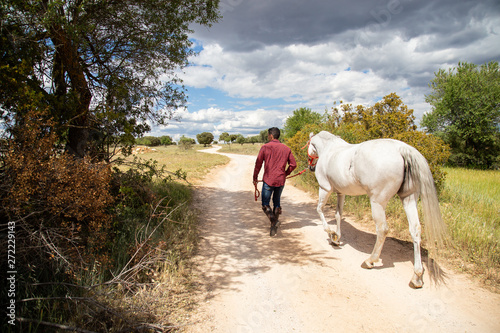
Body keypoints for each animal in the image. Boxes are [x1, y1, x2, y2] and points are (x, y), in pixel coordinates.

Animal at [306, 131, 448, 286]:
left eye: (309, 145)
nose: (311, 167)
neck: (329, 149)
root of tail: (403, 149)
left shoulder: (325, 188)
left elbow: (319, 210)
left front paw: (331, 233)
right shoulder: (341, 193)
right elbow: (338, 214)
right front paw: (336, 238)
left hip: (378, 202)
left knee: (382, 229)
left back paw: (370, 261)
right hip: (409, 199)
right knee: (415, 229)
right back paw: (417, 277)